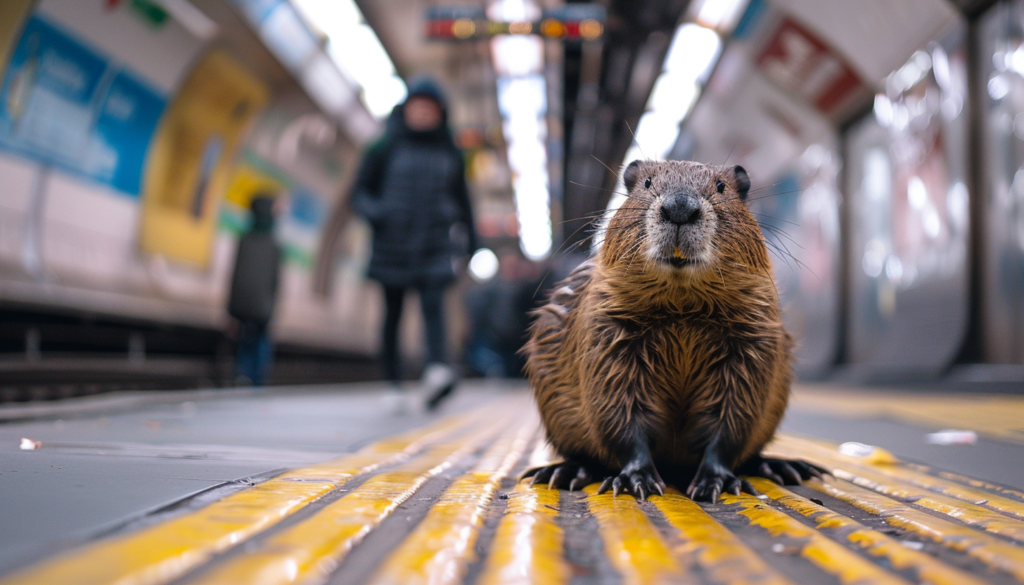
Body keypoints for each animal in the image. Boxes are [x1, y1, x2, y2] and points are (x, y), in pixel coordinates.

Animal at [520, 157, 823, 502]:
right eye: (647, 182)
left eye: (722, 186)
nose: (679, 207)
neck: (682, 310)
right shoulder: (605, 329)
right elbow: (615, 407)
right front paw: (638, 480)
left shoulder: (753, 334)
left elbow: (736, 413)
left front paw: (715, 482)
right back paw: (563, 472)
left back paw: (784, 467)